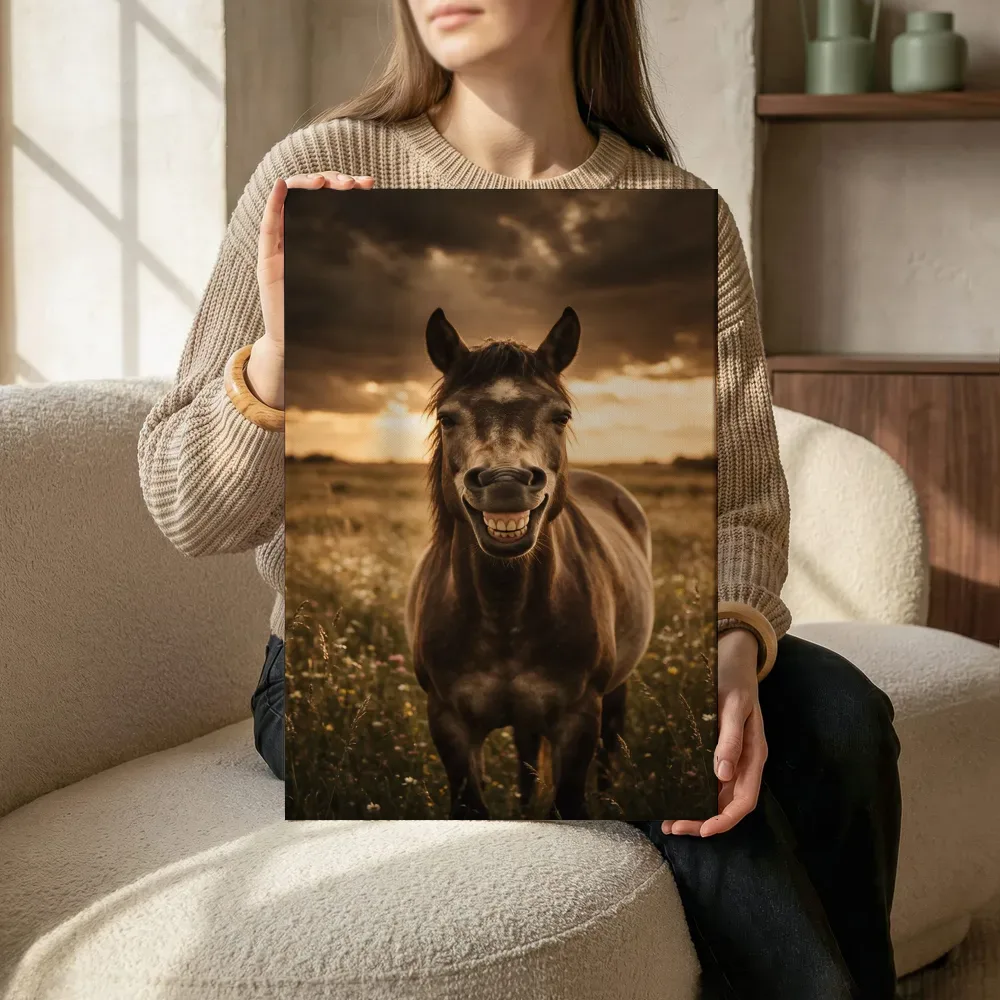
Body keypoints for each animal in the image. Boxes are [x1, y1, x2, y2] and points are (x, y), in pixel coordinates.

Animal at [403, 306, 655, 819]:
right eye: (447, 417)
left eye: (560, 416)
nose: (505, 482)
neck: (504, 611)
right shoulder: (448, 723)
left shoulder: (579, 721)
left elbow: (570, 801)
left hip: (614, 694)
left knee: (609, 752)